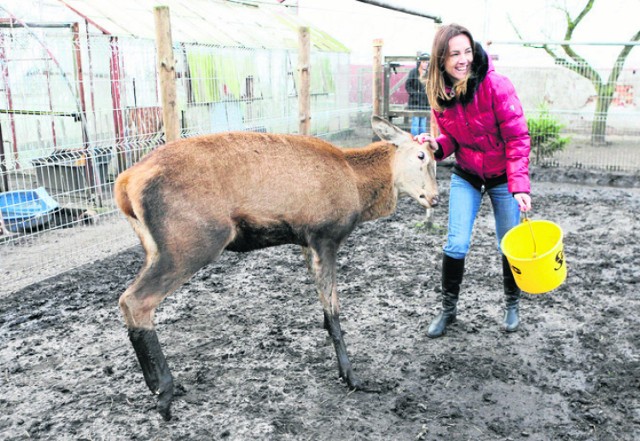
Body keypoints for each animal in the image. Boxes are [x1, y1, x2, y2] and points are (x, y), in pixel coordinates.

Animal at [114, 115, 436, 418]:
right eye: (422, 156)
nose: (434, 197)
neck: (358, 188)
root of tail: (124, 185)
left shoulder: (306, 242)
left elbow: (325, 312)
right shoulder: (325, 236)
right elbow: (334, 313)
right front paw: (352, 377)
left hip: (156, 248)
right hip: (191, 242)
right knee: (135, 299)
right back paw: (164, 390)